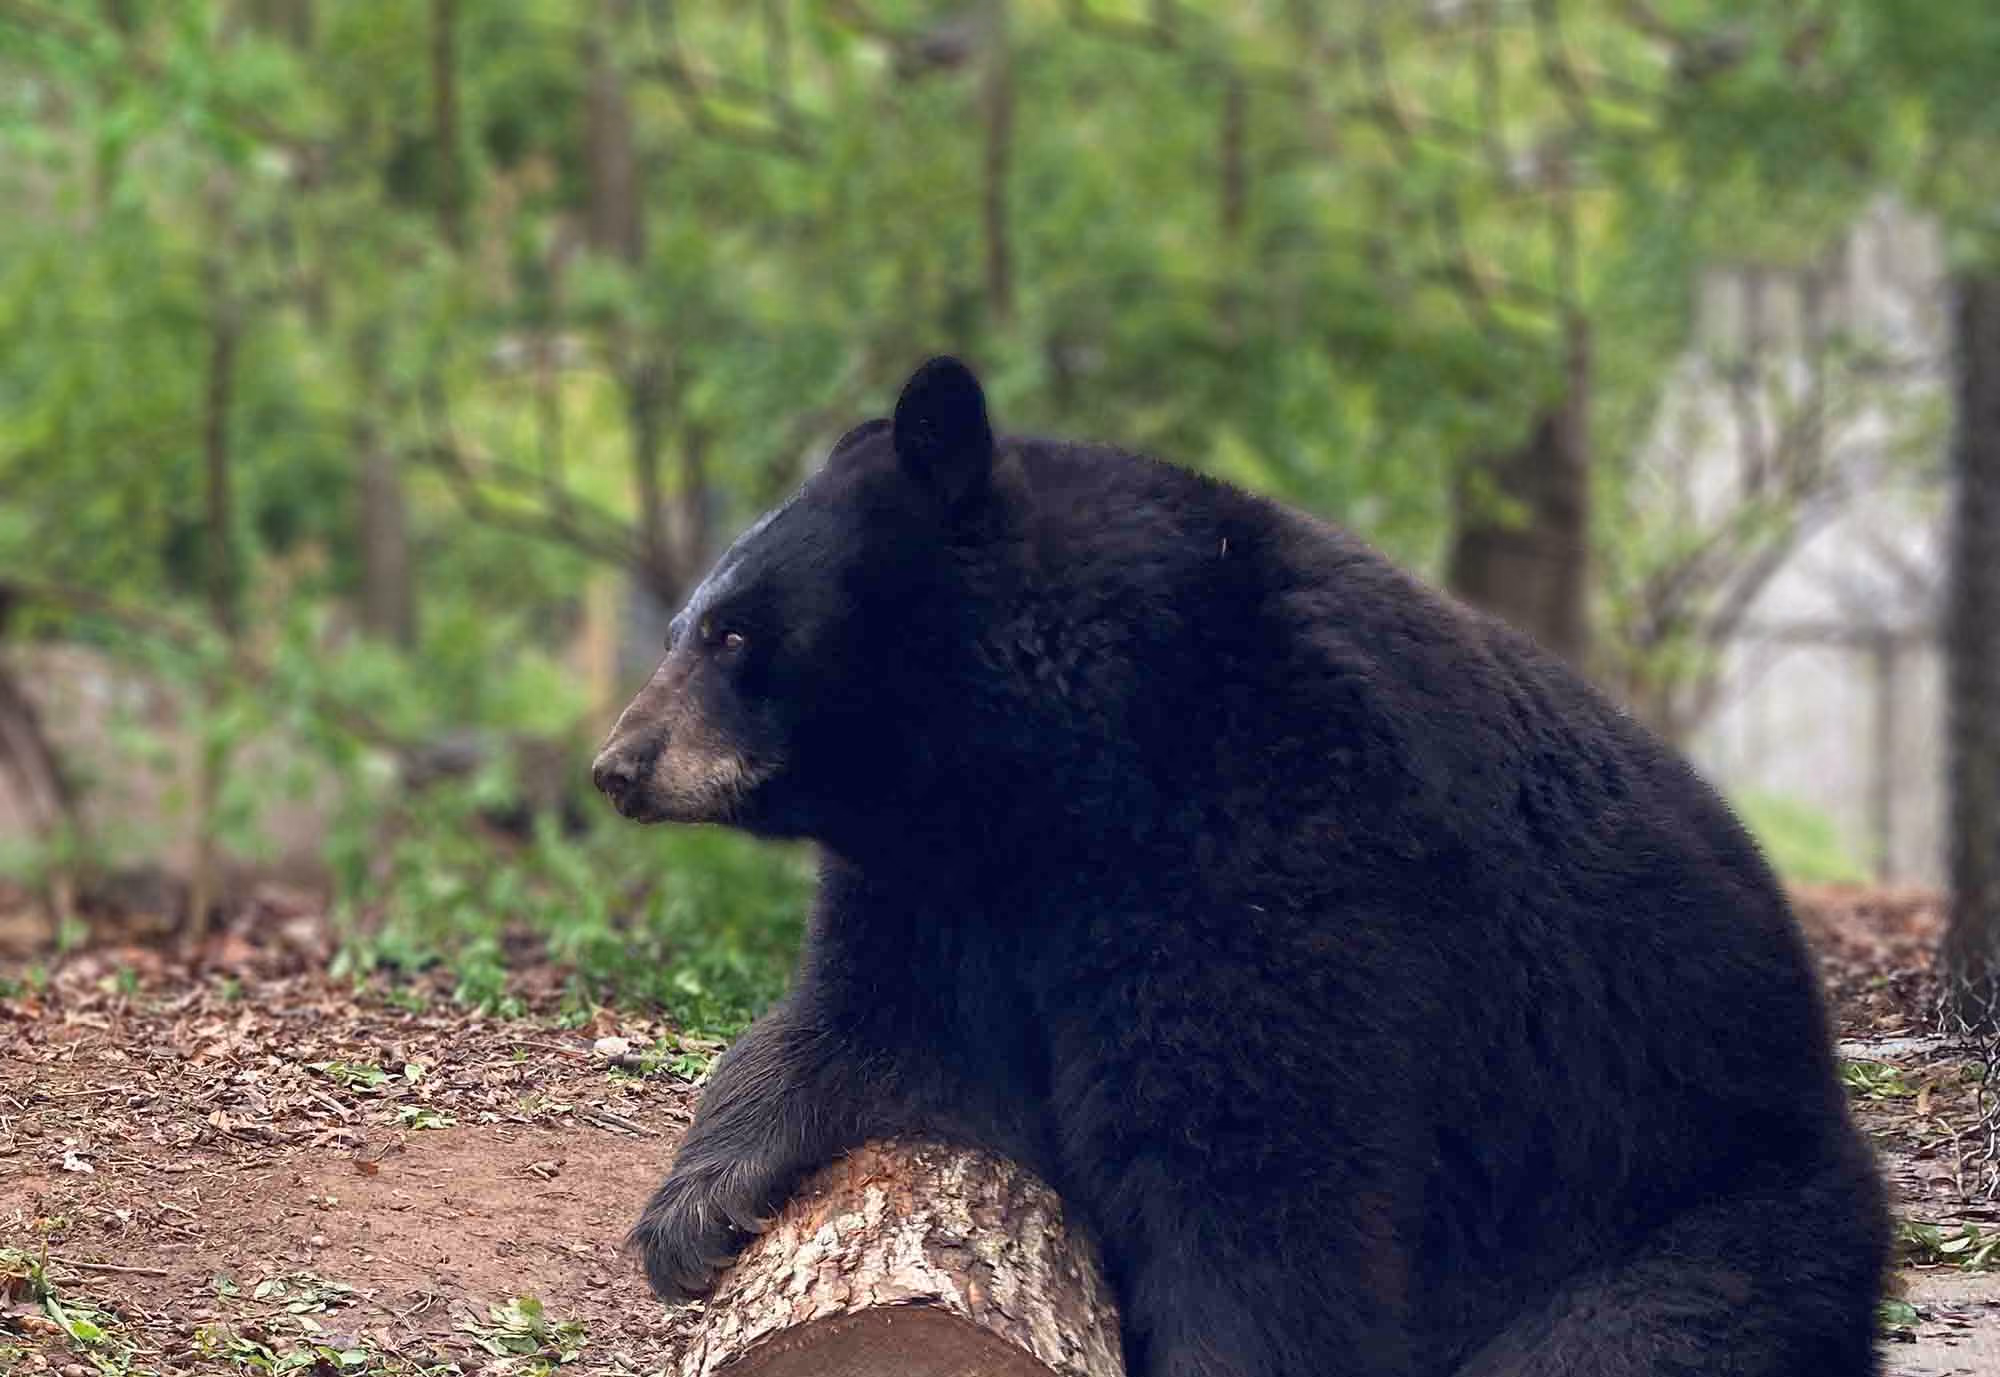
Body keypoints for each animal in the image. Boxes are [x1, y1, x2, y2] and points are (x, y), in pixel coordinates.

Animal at [591, 356, 1888, 1376]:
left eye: (734, 633)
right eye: (686, 627)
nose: (618, 764)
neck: (1057, 760)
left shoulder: (1283, 852)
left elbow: (1258, 1184)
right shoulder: (952, 875)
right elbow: (883, 1021)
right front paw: (697, 1207)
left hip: (1678, 1196)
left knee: (1620, 1333)